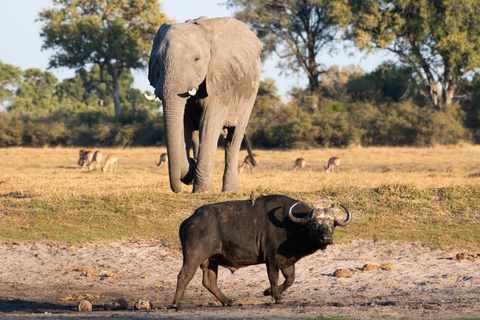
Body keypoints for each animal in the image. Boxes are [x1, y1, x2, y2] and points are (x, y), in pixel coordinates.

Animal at [144, 16, 260, 192]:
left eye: (196, 59)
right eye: (157, 61)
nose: (179, 186)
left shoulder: (219, 78)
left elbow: (208, 123)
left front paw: (202, 190)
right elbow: (185, 124)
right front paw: (190, 172)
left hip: (250, 95)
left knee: (234, 137)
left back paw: (230, 190)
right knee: (196, 135)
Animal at [172, 194, 352, 308]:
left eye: (332, 224)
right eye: (315, 223)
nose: (326, 238)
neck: (291, 226)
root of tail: (189, 220)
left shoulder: (287, 260)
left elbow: (290, 279)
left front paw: (268, 292)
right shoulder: (272, 258)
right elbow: (273, 277)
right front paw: (276, 297)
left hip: (211, 260)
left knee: (209, 281)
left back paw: (227, 301)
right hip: (194, 256)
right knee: (184, 276)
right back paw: (177, 304)